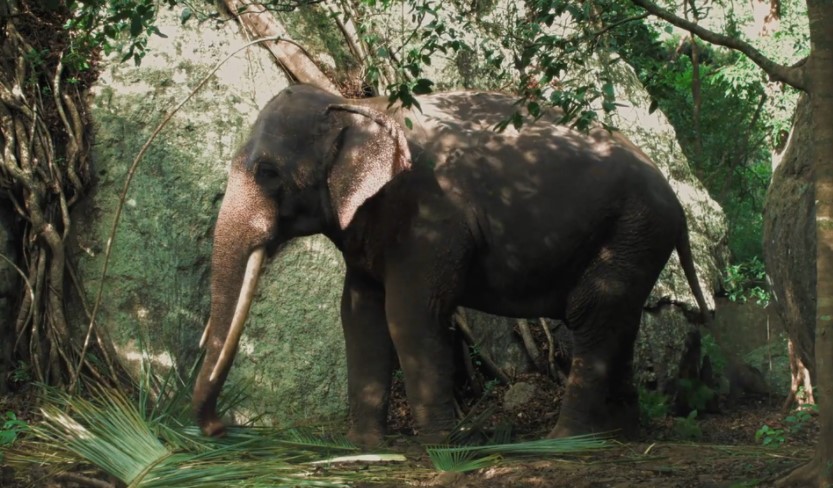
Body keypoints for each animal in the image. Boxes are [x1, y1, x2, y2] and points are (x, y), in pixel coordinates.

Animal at [192, 83, 710, 446]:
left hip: (633, 227)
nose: (220, 429)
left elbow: (409, 315)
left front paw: (443, 445)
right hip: (637, 238)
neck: (359, 104)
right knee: (620, 319)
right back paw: (624, 436)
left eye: (267, 172)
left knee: (592, 313)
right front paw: (364, 445)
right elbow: (358, 316)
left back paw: (564, 443)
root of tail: (679, 203)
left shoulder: (429, 214)